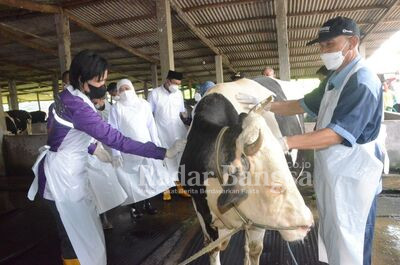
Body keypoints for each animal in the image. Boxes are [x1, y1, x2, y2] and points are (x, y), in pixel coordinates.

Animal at [180, 78, 314, 264]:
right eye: (275, 187)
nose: (308, 223)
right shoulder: (202, 211)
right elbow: (213, 249)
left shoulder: (258, 219)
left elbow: (254, 249)